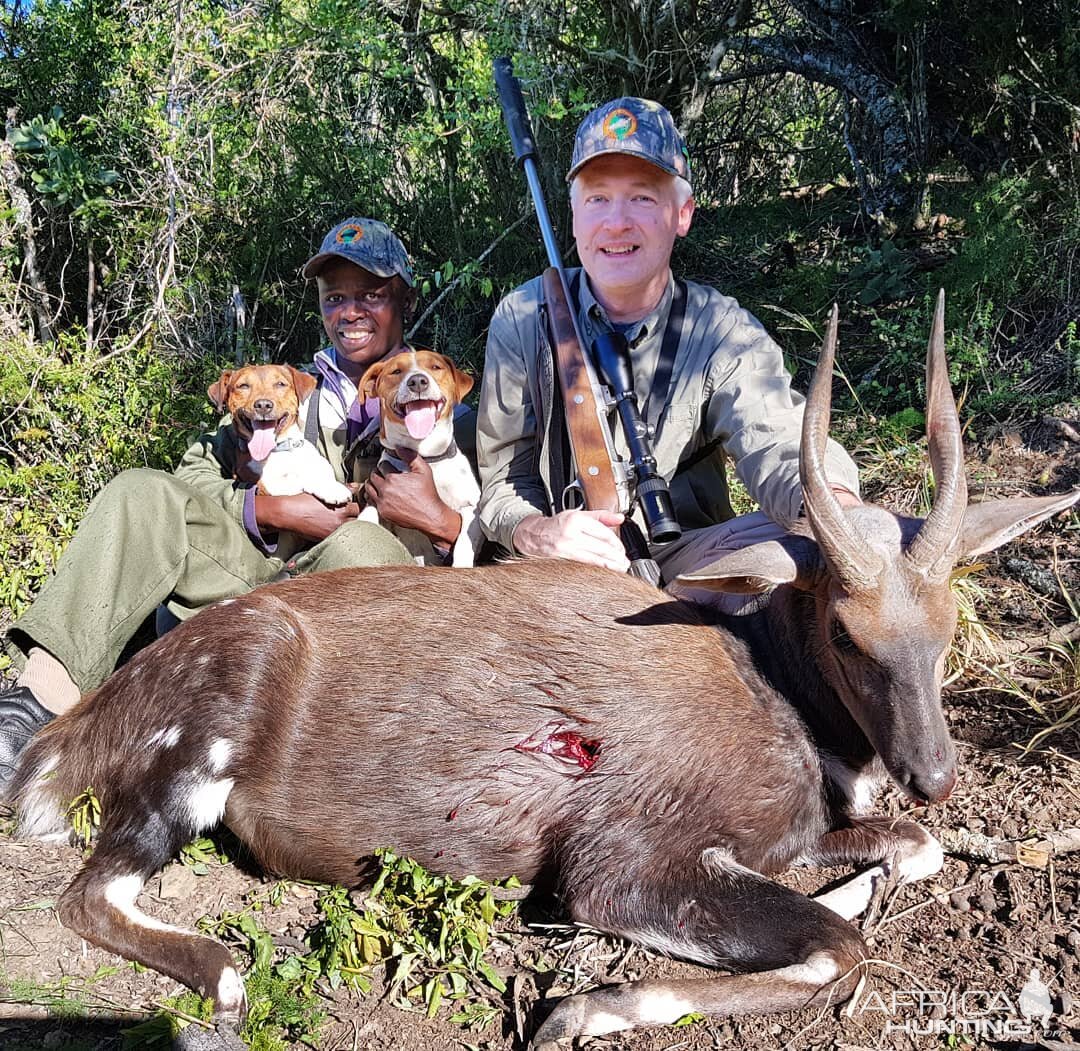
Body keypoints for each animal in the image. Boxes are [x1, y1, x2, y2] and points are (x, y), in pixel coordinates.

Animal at [214, 362, 354, 505]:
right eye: (243, 386)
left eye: (280, 384)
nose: (263, 405)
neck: (280, 448)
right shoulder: (265, 484)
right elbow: (301, 479)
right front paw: (330, 488)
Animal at [354, 349, 481, 566]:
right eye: (396, 371)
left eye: (436, 367)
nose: (418, 381)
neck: (425, 456)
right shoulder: (377, 500)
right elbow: (367, 517)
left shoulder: (474, 507)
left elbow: (466, 533)